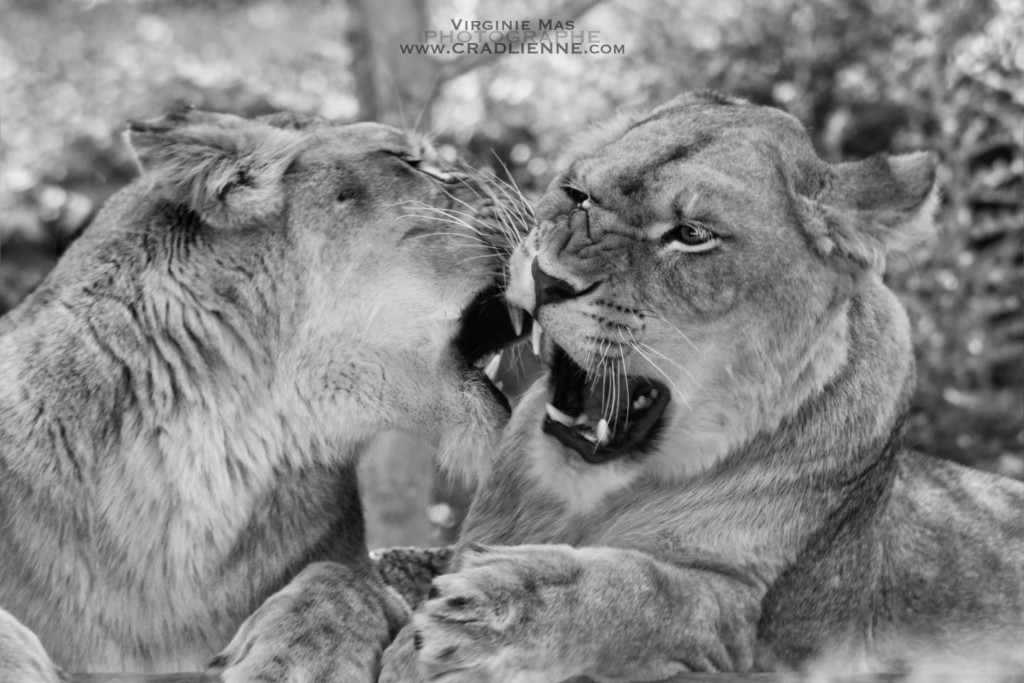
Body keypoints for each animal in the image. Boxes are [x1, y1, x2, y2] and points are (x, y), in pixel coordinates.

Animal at [370, 92, 1024, 681]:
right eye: (577, 195)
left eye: (690, 234)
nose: (546, 279)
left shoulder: (756, 627)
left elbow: (646, 591)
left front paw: (491, 610)